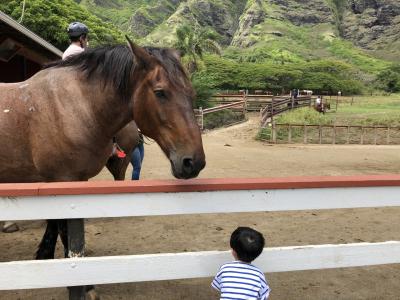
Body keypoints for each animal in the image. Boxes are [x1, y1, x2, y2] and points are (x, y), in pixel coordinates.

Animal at [0, 39, 205, 264]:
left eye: (192, 93)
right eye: (160, 92)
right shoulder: (63, 180)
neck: (75, 107)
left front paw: (44, 255)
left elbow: (53, 225)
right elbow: (65, 233)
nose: (193, 162)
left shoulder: (61, 182)